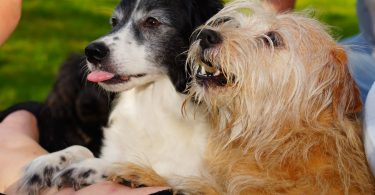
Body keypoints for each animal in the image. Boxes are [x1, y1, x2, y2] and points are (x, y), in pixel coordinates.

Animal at [18, 0, 223, 194]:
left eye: (152, 21)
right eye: (114, 22)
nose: (92, 52)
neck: (152, 102)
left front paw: (91, 168)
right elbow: (81, 148)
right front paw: (48, 163)